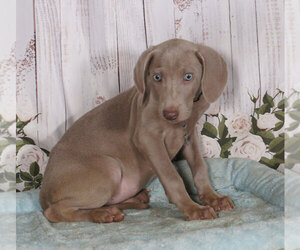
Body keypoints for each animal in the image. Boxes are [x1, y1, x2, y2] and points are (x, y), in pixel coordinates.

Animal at [39, 38, 234, 223]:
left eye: (188, 76)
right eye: (157, 77)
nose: (169, 114)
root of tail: (43, 192)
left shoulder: (189, 135)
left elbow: (200, 167)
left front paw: (213, 198)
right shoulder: (147, 138)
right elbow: (172, 177)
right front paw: (193, 208)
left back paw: (129, 202)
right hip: (110, 168)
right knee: (54, 212)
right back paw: (102, 214)